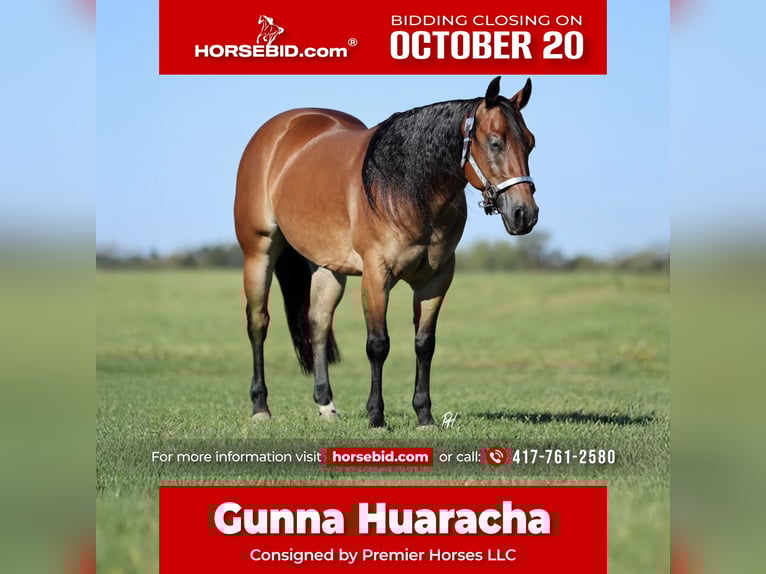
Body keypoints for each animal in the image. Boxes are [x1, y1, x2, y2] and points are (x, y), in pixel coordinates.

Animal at [234, 76, 538, 428]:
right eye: (495, 143)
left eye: (530, 144)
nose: (524, 214)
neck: (407, 188)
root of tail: (279, 129)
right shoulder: (376, 274)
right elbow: (378, 344)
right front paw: (376, 416)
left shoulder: (436, 279)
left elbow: (424, 344)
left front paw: (424, 415)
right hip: (259, 253)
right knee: (258, 322)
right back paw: (260, 407)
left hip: (329, 267)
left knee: (319, 323)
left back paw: (326, 405)